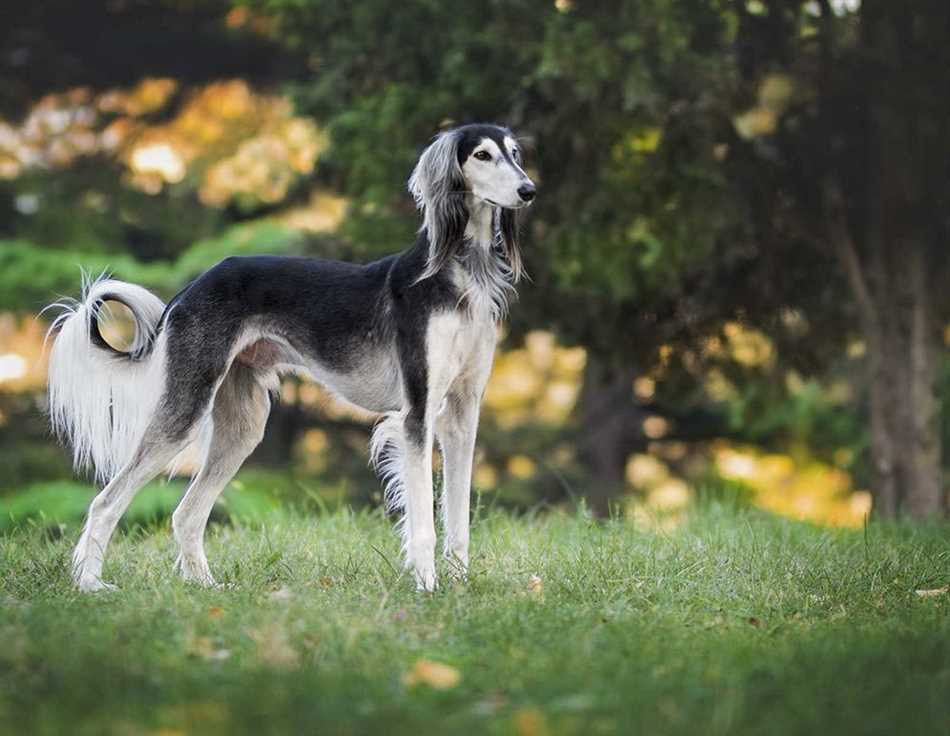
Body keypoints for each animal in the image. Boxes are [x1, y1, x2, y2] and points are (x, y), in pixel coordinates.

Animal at [46, 122, 536, 592]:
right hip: (186, 407)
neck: (457, 274)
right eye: (481, 155)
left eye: (515, 153)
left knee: (186, 513)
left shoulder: (462, 414)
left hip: (242, 425)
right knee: (106, 501)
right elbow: (424, 524)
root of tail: (191, 288)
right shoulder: (417, 414)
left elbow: (458, 518)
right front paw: (428, 587)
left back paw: (206, 587)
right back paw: (90, 584)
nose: (528, 190)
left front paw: (459, 586)